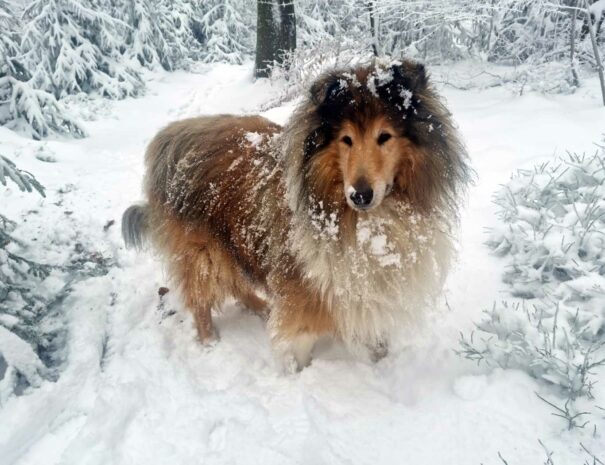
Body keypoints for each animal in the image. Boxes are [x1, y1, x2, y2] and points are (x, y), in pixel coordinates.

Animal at [122, 59, 470, 372]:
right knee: (202, 297)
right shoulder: (303, 291)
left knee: (236, 283)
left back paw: (261, 307)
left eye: (384, 136)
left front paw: (379, 361)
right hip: (202, 250)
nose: (360, 195)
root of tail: (169, 136)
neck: (365, 224)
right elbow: (299, 344)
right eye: (346, 139)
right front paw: (299, 376)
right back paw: (210, 342)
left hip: (232, 239)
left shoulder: (374, 284)